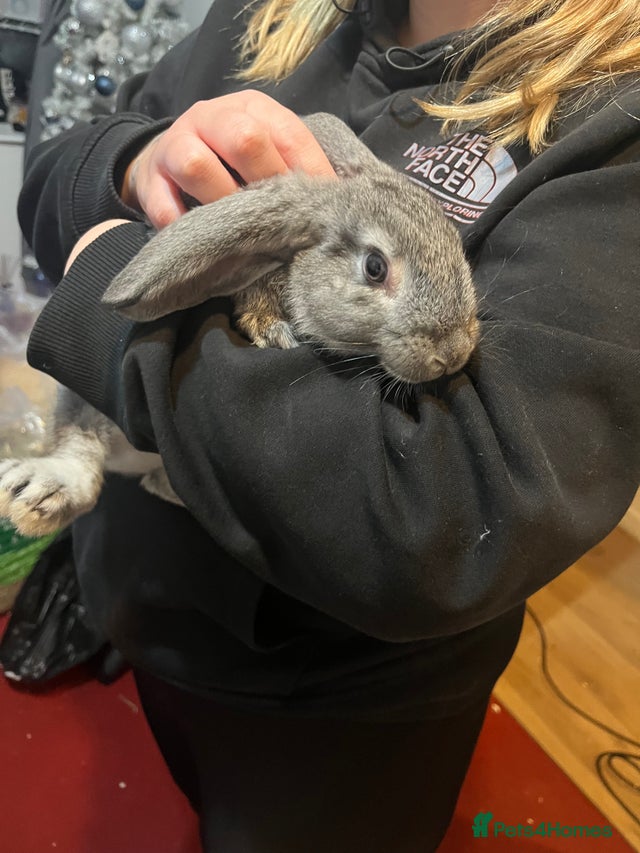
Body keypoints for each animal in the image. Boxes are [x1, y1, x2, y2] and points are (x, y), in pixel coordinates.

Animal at [0, 113, 479, 537]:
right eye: (375, 267)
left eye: (456, 246)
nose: (453, 352)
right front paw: (273, 330)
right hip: (80, 406)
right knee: (80, 445)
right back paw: (33, 491)